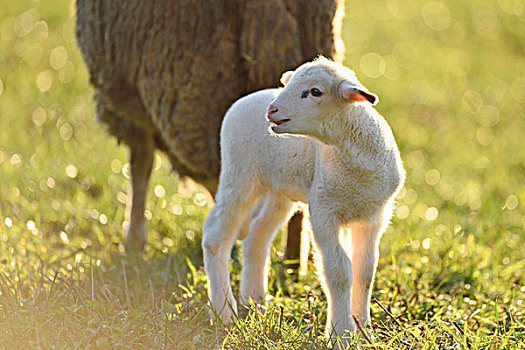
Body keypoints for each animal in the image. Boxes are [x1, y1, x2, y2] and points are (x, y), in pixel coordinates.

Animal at [202, 56, 406, 344]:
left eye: (315, 92)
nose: (272, 110)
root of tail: (245, 99)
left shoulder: (374, 216)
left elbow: (365, 271)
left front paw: (364, 331)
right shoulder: (323, 211)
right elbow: (339, 271)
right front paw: (341, 334)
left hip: (278, 190)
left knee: (256, 235)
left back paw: (254, 301)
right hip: (239, 175)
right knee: (215, 236)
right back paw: (224, 312)